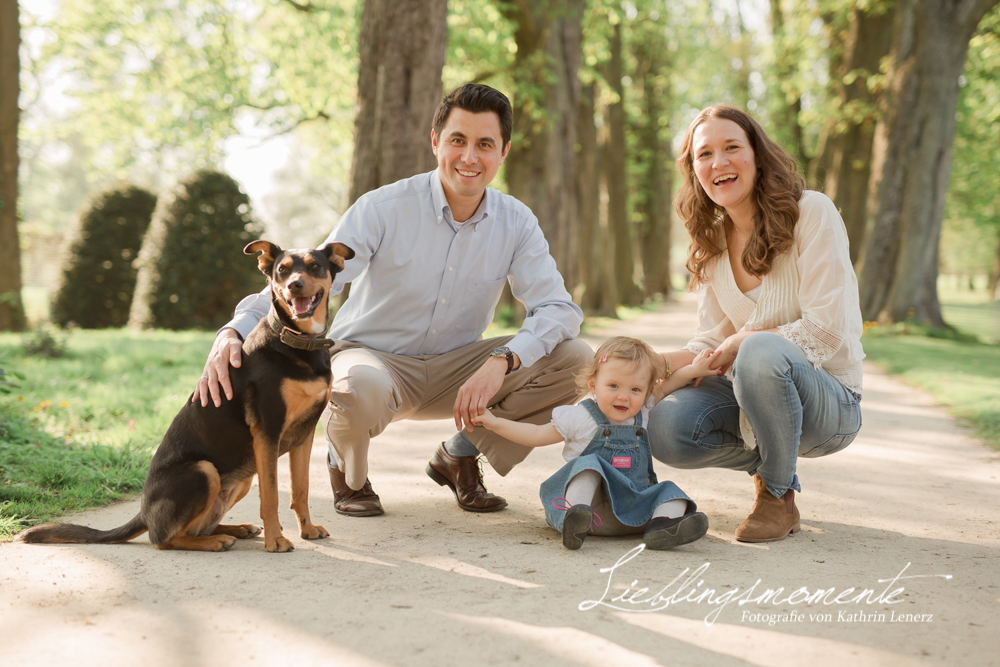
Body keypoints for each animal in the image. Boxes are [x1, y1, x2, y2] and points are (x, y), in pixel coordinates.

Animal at [18, 240, 356, 552]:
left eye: (314, 267)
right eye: (282, 270)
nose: (293, 285)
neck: (297, 343)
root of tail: (144, 512)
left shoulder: (304, 434)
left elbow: (301, 490)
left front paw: (307, 530)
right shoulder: (267, 433)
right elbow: (272, 495)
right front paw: (276, 541)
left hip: (241, 477)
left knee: (197, 527)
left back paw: (235, 530)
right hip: (204, 471)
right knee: (164, 539)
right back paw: (216, 541)